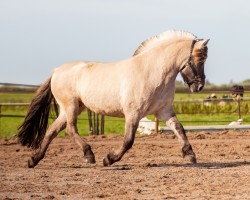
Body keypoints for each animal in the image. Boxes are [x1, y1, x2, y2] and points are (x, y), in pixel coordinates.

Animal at [18, 29, 209, 167]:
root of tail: (56, 70)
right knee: (70, 130)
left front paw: (190, 155)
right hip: (70, 106)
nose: (199, 86)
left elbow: (180, 129)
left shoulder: (164, 111)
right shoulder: (133, 113)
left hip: (71, 108)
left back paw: (33, 160)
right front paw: (109, 159)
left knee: (52, 131)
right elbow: (128, 140)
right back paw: (89, 155)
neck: (153, 72)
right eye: (198, 59)